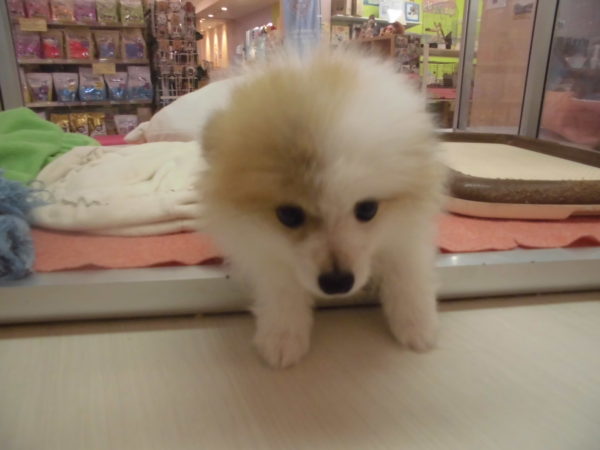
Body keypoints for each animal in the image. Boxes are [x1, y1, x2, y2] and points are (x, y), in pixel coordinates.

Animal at [200, 50, 446, 368]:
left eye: (367, 209)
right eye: (288, 215)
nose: (337, 282)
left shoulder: (406, 230)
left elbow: (407, 273)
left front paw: (417, 325)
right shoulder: (261, 246)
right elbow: (282, 286)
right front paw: (282, 336)